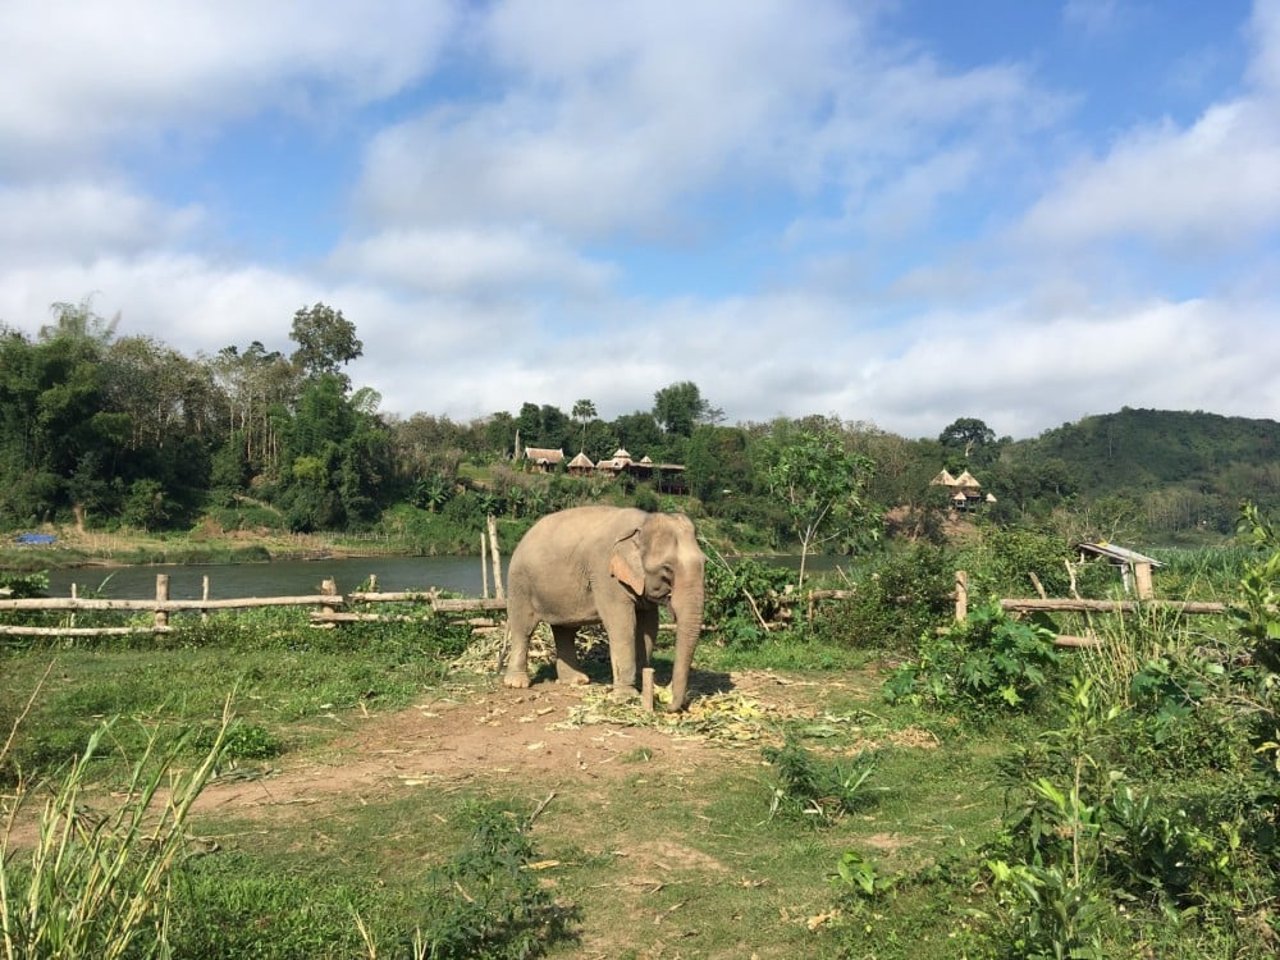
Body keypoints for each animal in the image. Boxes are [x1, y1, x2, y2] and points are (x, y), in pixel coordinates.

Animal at [499, 506, 706, 711]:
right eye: (667, 568)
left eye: (705, 562)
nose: (668, 705)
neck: (642, 521)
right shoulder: (605, 574)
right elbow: (623, 625)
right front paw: (626, 697)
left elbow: (648, 626)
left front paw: (642, 686)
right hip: (519, 583)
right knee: (523, 628)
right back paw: (517, 683)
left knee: (565, 631)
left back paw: (576, 681)